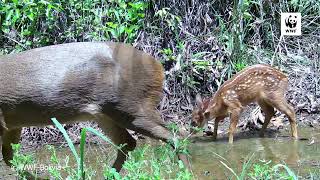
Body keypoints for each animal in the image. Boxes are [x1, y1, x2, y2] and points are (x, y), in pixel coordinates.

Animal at [0, 41, 190, 172]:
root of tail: (159, 67)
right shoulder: (13, 122)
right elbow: (9, 157)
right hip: (104, 113)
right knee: (128, 142)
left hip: (131, 106)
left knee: (176, 134)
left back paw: (186, 172)